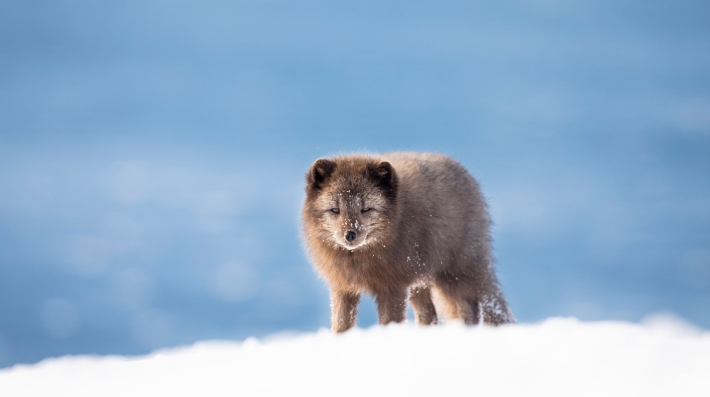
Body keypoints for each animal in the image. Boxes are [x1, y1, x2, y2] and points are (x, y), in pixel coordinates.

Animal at [304, 152, 516, 332]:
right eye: (335, 210)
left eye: (366, 209)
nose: (350, 235)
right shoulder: (342, 288)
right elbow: (341, 325)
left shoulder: (393, 287)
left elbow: (389, 322)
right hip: (421, 284)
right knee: (430, 314)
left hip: (459, 273)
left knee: (480, 305)